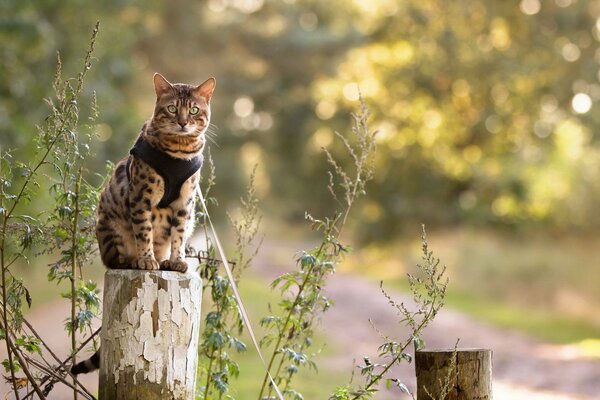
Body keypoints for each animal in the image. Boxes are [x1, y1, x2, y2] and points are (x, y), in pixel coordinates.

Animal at [70, 72, 216, 376]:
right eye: (172, 108)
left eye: (194, 110)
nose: (183, 121)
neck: (180, 150)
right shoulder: (141, 197)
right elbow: (144, 231)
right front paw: (147, 259)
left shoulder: (186, 204)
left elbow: (179, 235)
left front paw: (176, 260)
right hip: (111, 227)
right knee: (114, 259)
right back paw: (135, 260)